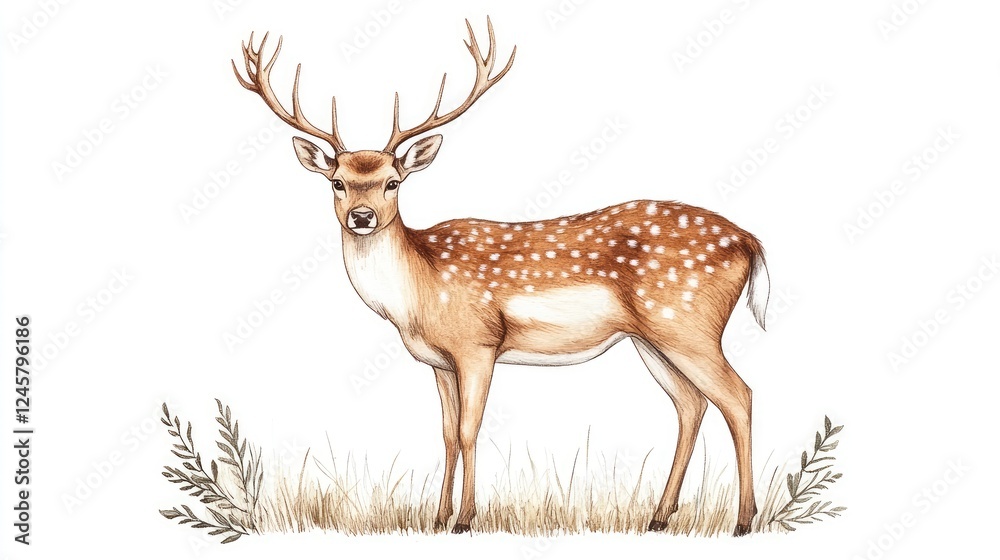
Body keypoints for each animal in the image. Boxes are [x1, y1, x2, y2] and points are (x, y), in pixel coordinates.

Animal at [233, 18, 769, 536]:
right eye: (337, 182)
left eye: (393, 182)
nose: (361, 217)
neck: (418, 295)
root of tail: (750, 241)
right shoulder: (439, 361)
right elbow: (447, 434)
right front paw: (436, 518)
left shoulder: (478, 344)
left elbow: (469, 429)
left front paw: (465, 520)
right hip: (652, 339)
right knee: (691, 405)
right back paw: (659, 517)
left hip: (688, 325)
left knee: (738, 396)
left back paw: (743, 521)